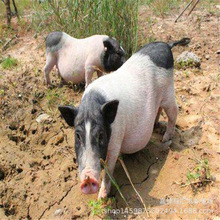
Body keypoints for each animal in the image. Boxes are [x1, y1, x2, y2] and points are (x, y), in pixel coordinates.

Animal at [58, 37, 191, 199]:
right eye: (77, 135)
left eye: (101, 135)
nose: (88, 179)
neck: (92, 105)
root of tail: (166, 45)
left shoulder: (116, 139)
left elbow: (109, 169)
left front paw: (101, 198)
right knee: (159, 109)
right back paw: (155, 126)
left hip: (169, 92)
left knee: (174, 112)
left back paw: (165, 139)